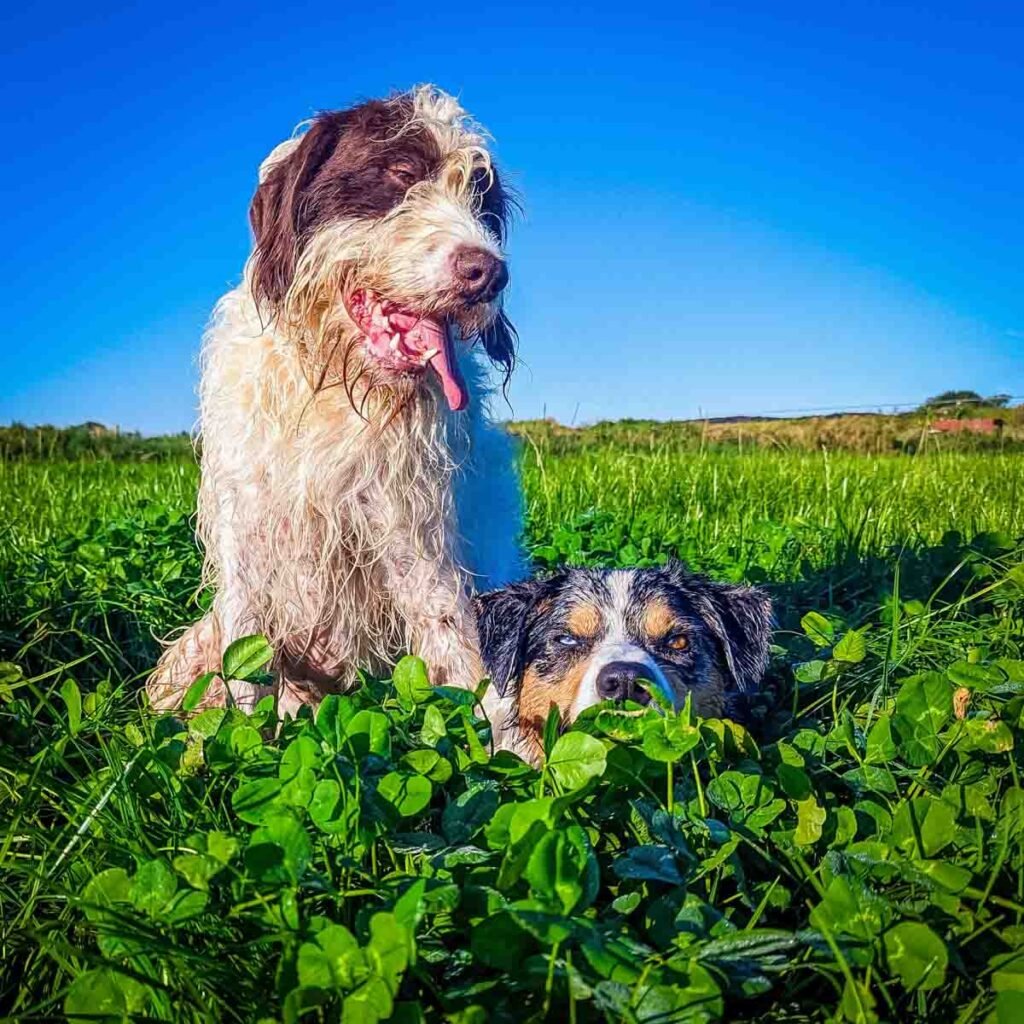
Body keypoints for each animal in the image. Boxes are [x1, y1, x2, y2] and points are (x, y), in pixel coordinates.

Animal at [150, 86, 528, 720]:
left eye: (481, 202)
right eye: (400, 173)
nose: (489, 274)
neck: (331, 380)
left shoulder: (412, 530)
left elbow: (455, 642)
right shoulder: (245, 525)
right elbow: (244, 667)